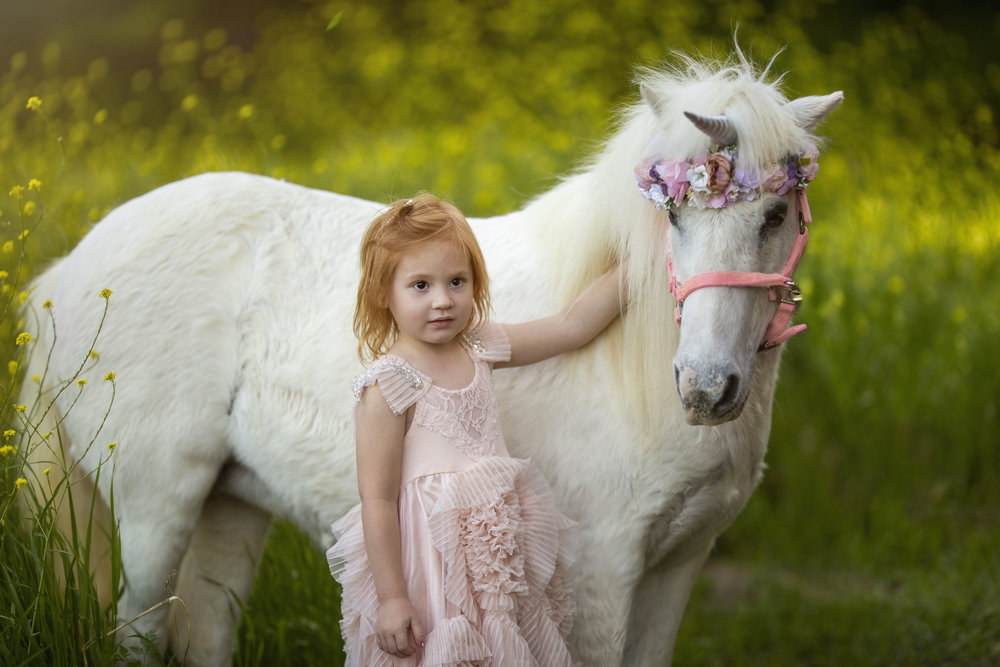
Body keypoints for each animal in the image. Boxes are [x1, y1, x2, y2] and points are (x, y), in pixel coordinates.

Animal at [23, 53, 840, 667]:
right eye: (672, 212)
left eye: (776, 214)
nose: (706, 388)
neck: (627, 365)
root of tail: (67, 272)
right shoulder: (604, 574)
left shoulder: (678, 565)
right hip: (155, 508)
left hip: (230, 507)